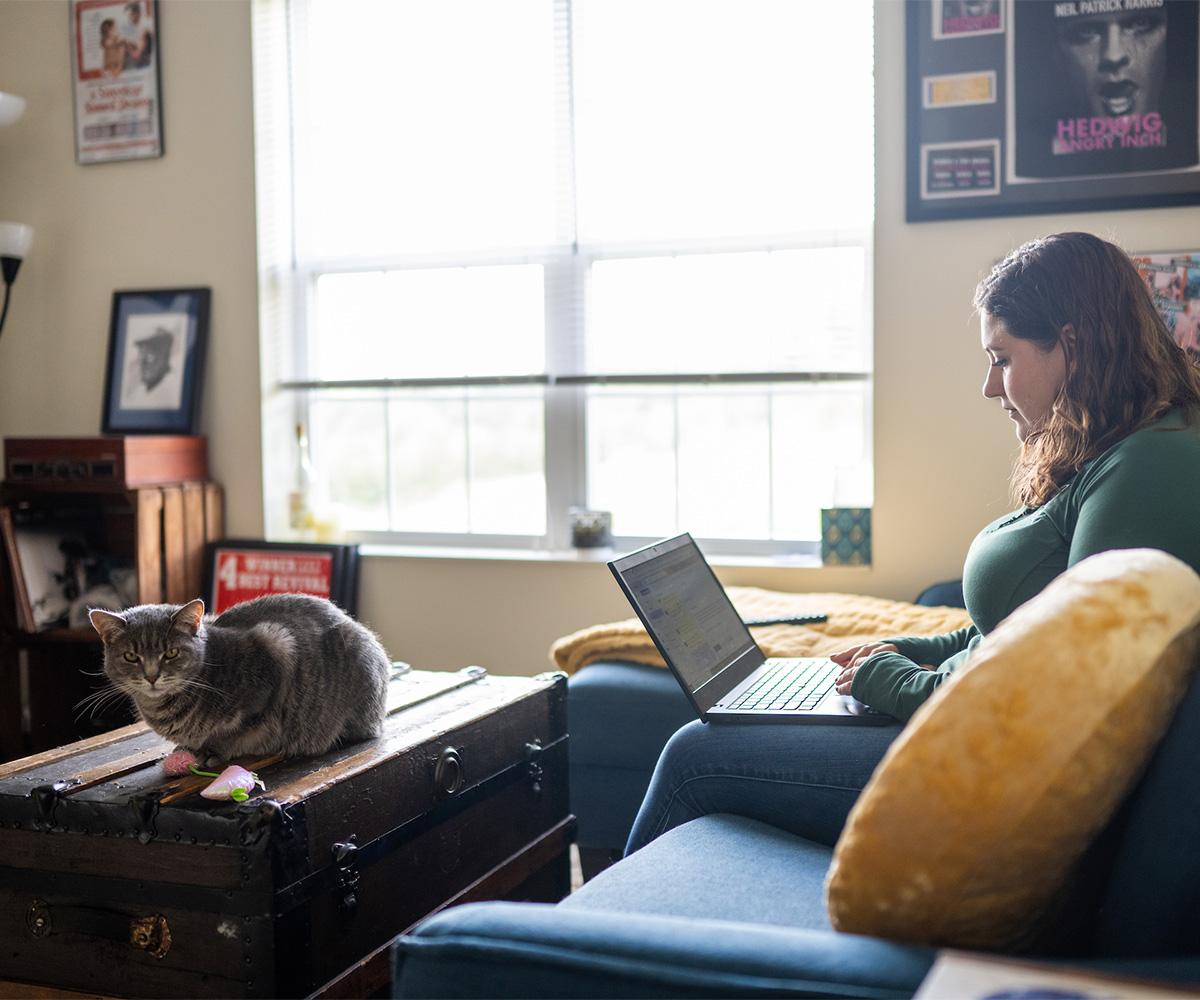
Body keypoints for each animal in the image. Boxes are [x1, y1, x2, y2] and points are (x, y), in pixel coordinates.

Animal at [88, 593, 388, 763]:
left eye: (171, 653)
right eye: (131, 656)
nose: (152, 676)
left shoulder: (274, 654)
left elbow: (235, 731)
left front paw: (212, 750)